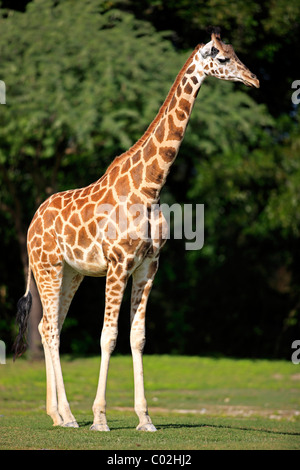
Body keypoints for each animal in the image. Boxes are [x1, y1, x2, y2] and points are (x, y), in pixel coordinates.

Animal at [14, 29, 258, 432]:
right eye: (222, 58)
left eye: (236, 53)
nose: (253, 79)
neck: (151, 187)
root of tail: (32, 223)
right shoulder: (117, 264)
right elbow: (108, 337)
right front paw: (100, 418)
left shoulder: (148, 265)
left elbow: (138, 338)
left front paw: (145, 418)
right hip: (47, 266)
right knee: (49, 329)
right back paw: (67, 417)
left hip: (71, 273)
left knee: (49, 327)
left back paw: (59, 414)